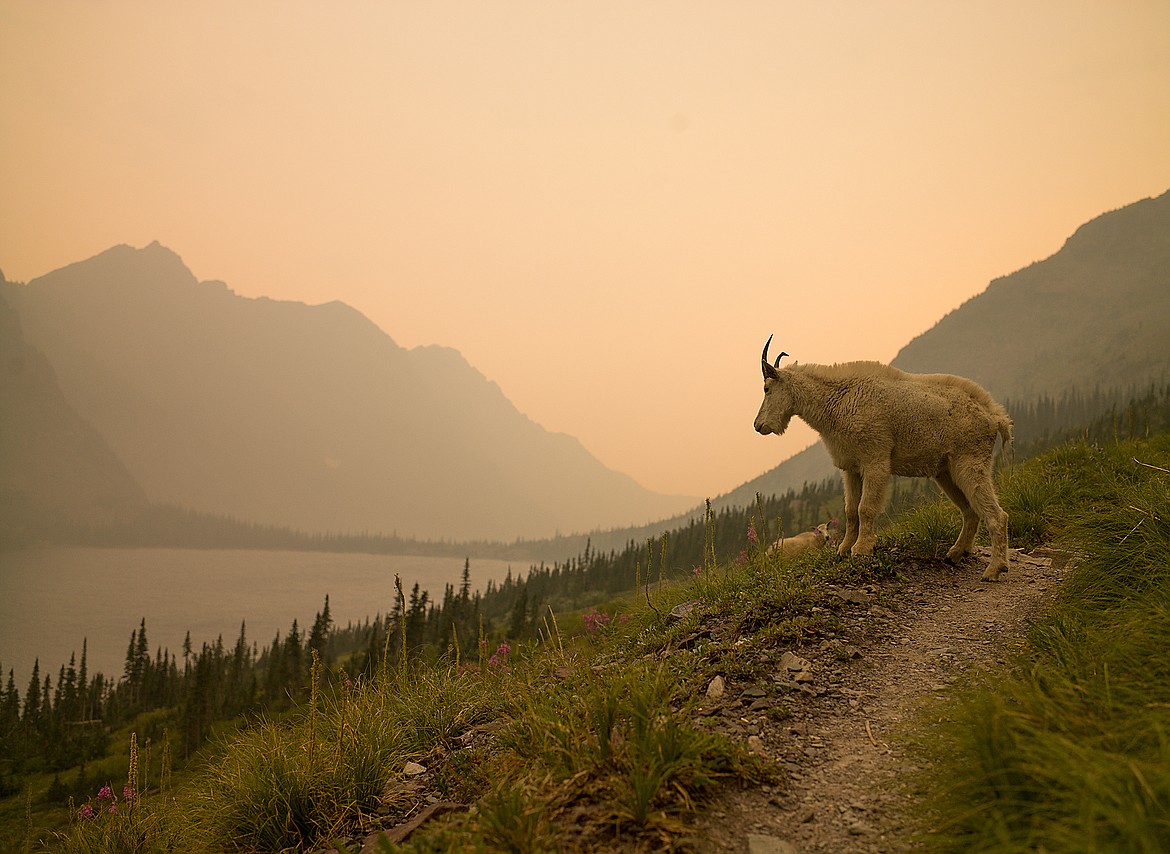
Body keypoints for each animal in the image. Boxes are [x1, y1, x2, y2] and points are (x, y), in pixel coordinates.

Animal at [748, 336, 1015, 582]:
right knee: (970, 511)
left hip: (970, 463)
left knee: (997, 515)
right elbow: (850, 511)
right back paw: (956, 554)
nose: (758, 425)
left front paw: (861, 549)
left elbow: (865, 508)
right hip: (947, 472)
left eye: (767, 389)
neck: (837, 400)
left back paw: (994, 569)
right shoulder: (851, 468)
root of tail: (995, 417)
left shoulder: (875, 460)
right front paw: (844, 549)